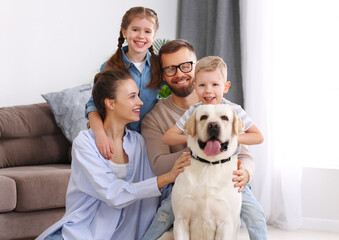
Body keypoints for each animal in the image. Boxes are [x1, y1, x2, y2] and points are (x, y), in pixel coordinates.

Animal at [173, 104, 244, 240]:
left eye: (224, 118)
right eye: (203, 117)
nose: (213, 125)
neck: (210, 165)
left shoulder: (225, 223)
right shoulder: (181, 219)